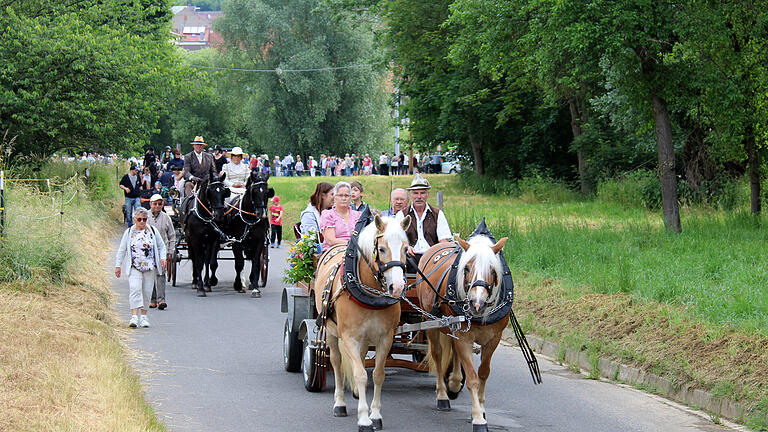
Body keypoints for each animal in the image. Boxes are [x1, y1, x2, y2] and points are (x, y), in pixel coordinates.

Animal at [224, 170, 274, 298]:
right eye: (254, 191)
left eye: (267, 192)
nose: (262, 215)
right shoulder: (236, 242)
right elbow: (239, 263)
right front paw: (238, 284)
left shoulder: (259, 242)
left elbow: (256, 263)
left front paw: (255, 288)